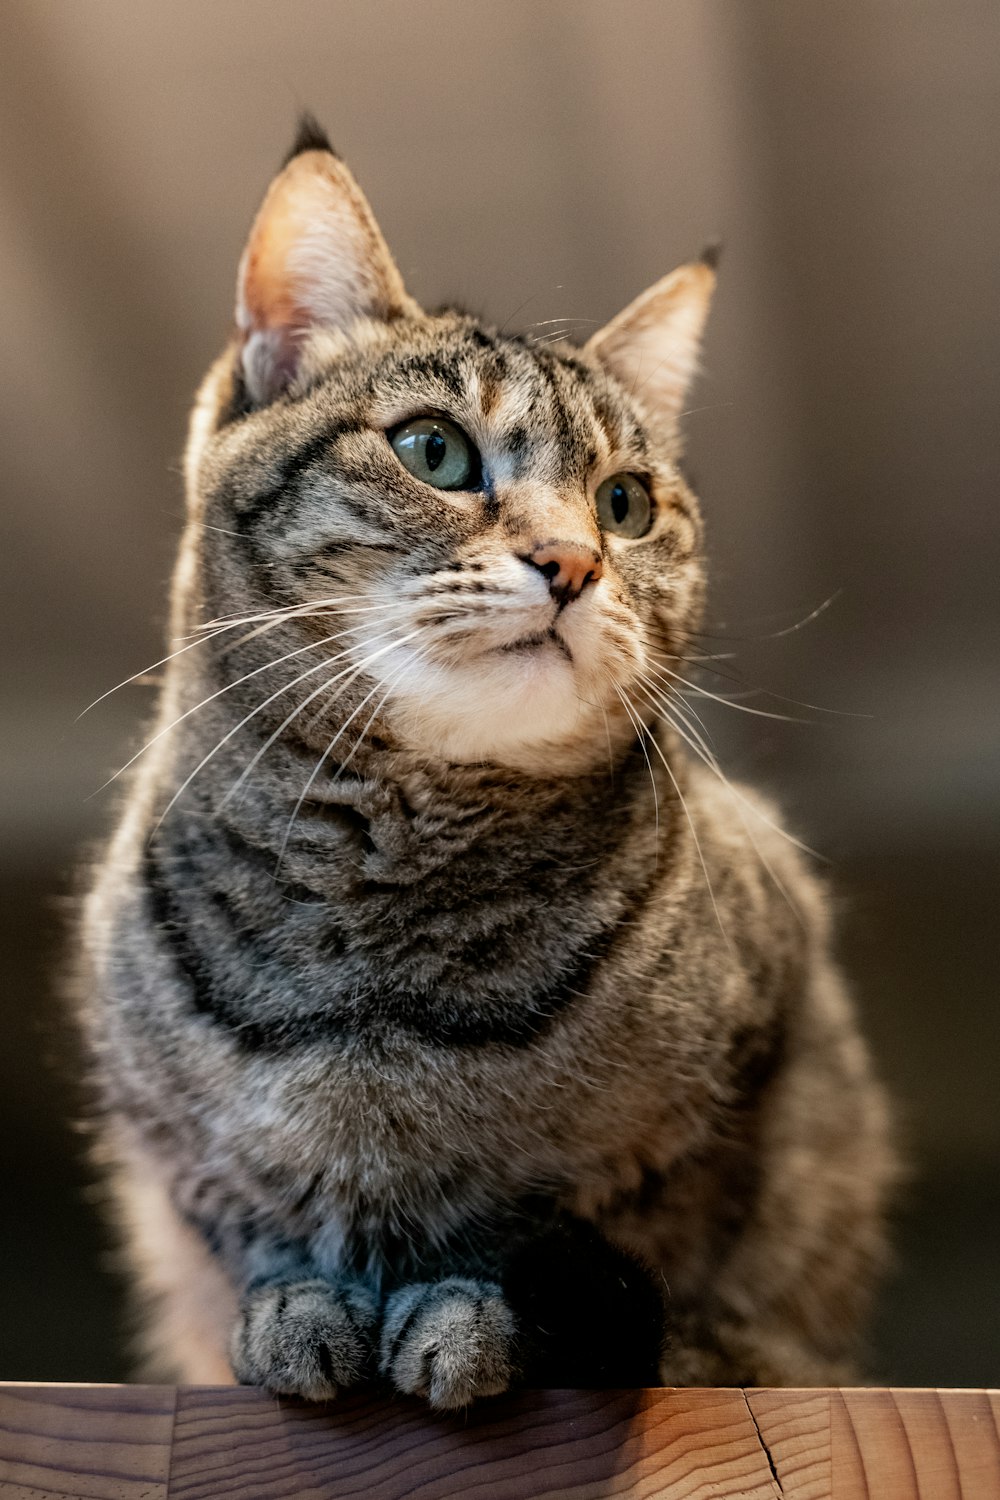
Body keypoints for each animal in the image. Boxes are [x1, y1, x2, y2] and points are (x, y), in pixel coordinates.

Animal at [76, 117, 893, 1404]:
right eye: (433, 450)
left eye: (626, 503)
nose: (574, 562)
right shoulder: (171, 1153)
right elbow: (253, 1222)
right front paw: (296, 1309)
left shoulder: (750, 1068)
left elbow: (593, 1233)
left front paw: (472, 1317)